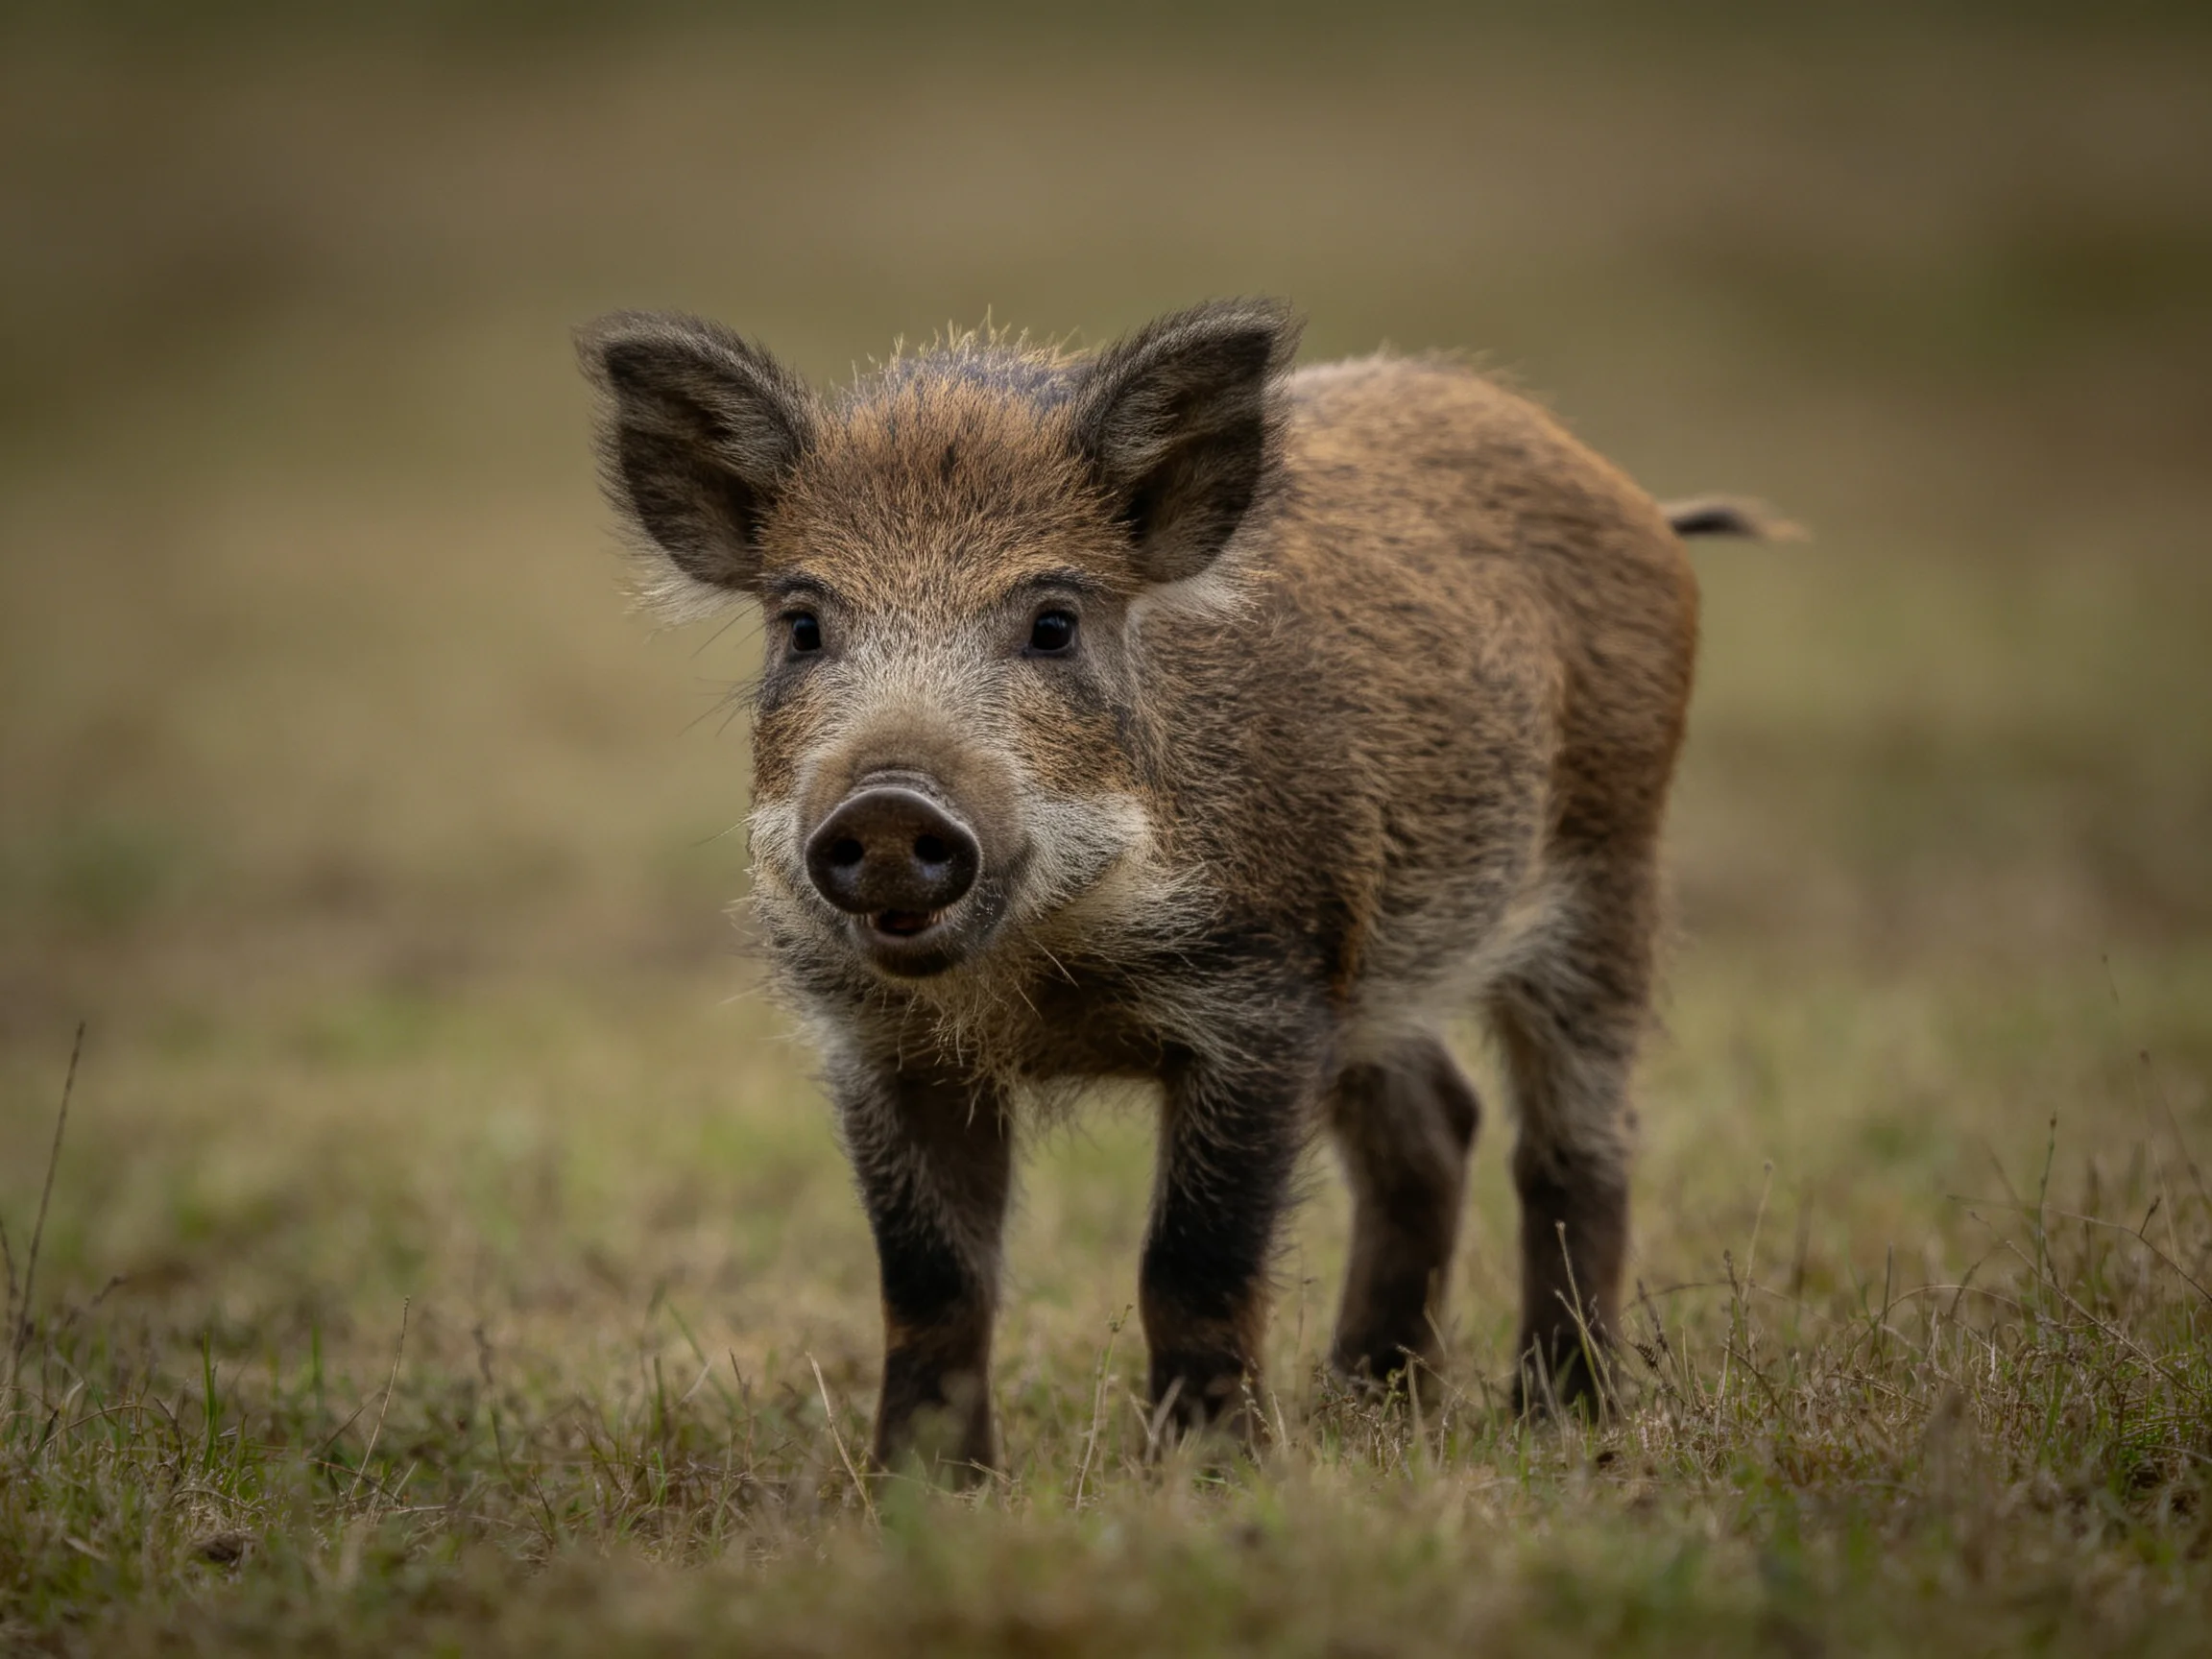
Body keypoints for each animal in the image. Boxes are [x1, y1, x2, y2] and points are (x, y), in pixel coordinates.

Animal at [579, 299, 1775, 1476]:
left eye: (1053, 623)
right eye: (803, 626)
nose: (886, 807)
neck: (1037, 982)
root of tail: (1638, 503)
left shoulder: (1260, 993)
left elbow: (1194, 1261)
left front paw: (1205, 1479)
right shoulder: (881, 1041)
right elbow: (931, 1282)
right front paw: (922, 1492)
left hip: (1610, 867)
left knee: (1580, 1142)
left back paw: (1563, 1421)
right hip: (1376, 974)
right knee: (1437, 1122)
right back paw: (1368, 1411)